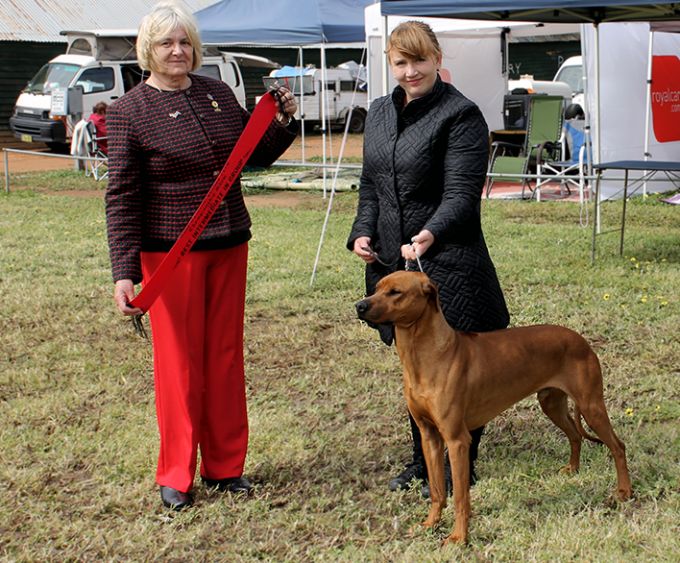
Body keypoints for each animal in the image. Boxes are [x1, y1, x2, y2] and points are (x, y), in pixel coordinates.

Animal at [355, 271, 632, 545]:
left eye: (395, 292)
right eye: (377, 288)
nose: (360, 305)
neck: (427, 355)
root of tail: (580, 339)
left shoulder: (457, 440)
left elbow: (460, 496)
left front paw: (458, 537)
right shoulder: (429, 435)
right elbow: (436, 490)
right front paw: (430, 524)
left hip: (591, 406)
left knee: (618, 446)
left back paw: (624, 491)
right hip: (551, 403)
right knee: (575, 435)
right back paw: (573, 469)